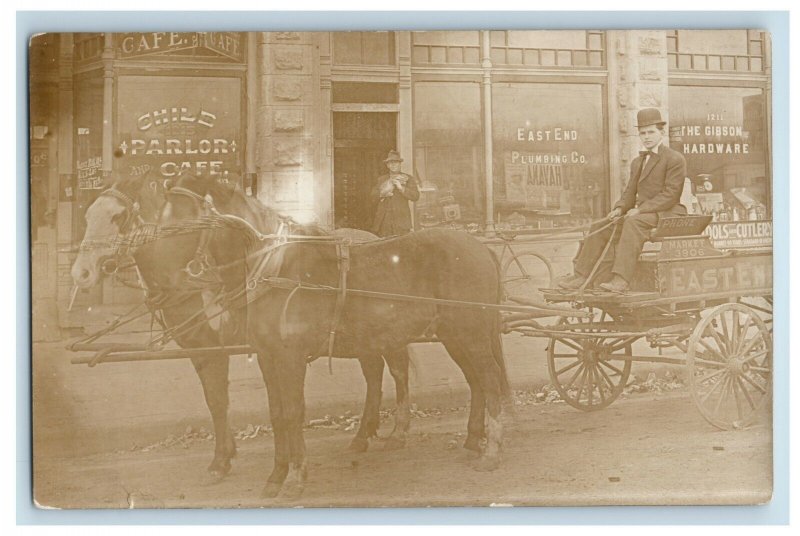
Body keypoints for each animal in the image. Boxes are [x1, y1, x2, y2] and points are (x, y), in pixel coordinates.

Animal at [156, 174, 512, 500]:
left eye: (184, 224)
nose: (166, 280)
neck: (276, 266)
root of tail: (480, 246)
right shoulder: (268, 357)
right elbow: (276, 414)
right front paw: (276, 476)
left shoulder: (290, 358)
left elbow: (293, 412)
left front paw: (295, 477)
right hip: (455, 336)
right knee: (476, 382)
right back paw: (472, 440)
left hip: (470, 334)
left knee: (490, 379)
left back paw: (492, 452)